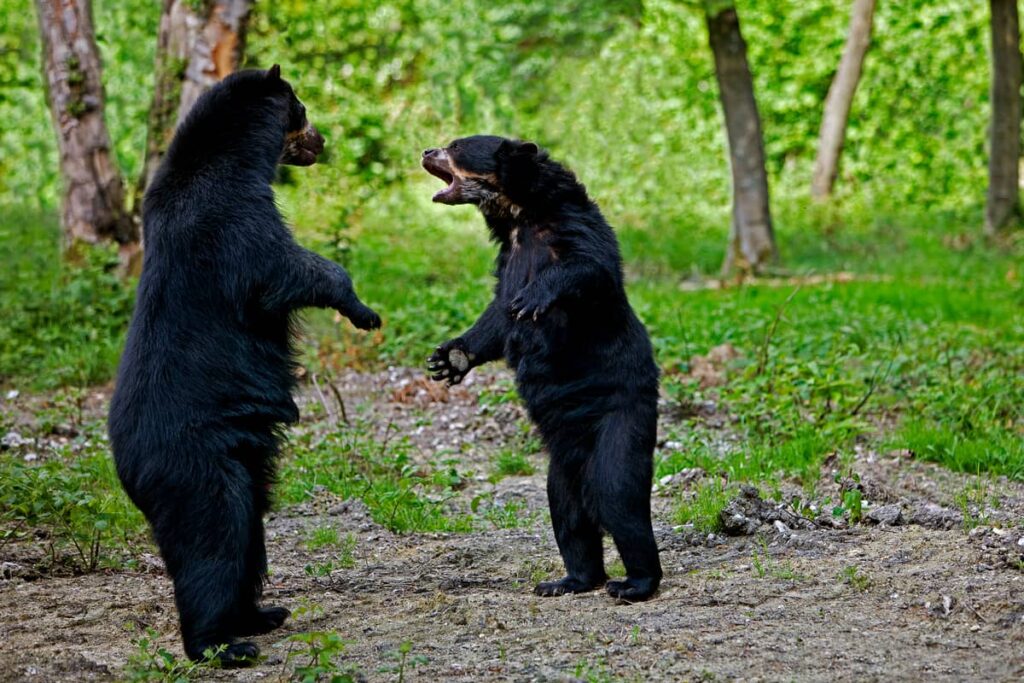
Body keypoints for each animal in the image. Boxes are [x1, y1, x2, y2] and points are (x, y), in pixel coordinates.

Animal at [108, 65, 381, 665]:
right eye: (301, 108)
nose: (321, 140)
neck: (230, 157)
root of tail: (126, 470)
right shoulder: (232, 221)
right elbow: (287, 267)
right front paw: (364, 309)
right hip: (199, 469)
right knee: (215, 541)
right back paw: (221, 644)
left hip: (238, 466)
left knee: (248, 539)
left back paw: (261, 613)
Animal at [422, 136, 662, 601]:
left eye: (456, 146)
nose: (425, 152)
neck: (521, 218)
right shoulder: (507, 257)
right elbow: (497, 315)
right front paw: (449, 358)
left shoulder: (572, 225)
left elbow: (591, 266)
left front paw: (535, 296)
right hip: (562, 464)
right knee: (567, 513)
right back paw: (569, 580)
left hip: (623, 416)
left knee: (617, 495)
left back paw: (634, 583)